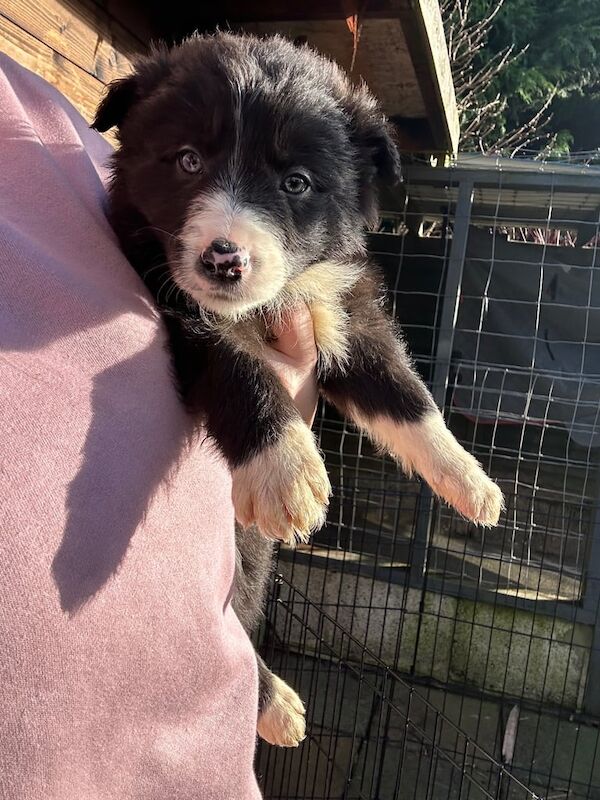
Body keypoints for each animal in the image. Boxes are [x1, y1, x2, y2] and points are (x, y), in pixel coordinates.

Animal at [94, 32, 504, 752]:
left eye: (297, 183)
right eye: (187, 160)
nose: (224, 260)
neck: (266, 303)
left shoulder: (343, 310)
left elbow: (403, 393)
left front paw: (470, 481)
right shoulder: (180, 314)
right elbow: (243, 370)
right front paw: (287, 471)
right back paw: (276, 704)